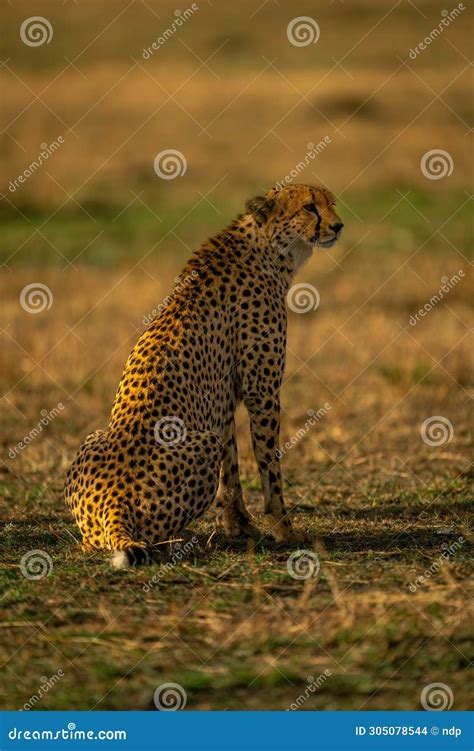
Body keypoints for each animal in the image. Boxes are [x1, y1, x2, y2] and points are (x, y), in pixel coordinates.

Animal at [64, 185, 344, 568]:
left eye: (331, 202)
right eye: (309, 207)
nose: (338, 225)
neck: (268, 248)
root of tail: (113, 504)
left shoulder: (223, 401)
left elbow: (232, 467)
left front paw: (239, 525)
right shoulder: (262, 391)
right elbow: (269, 464)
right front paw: (283, 528)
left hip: (94, 440)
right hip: (199, 445)